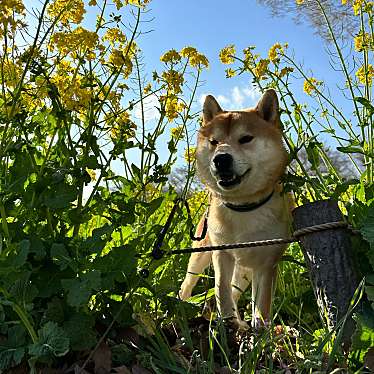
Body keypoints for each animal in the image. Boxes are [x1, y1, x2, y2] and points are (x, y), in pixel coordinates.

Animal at [179, 89, 292, 328]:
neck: (244, 207)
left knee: (235, 290)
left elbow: (262, 303)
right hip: (200, 255)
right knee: (187, 285)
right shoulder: (221, 254)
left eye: (246, 138)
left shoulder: (267, 262)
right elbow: (221, 290)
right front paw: (228, 321)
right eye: (214, 141)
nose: (221, 159)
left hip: (245, 272)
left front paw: (261, 330)